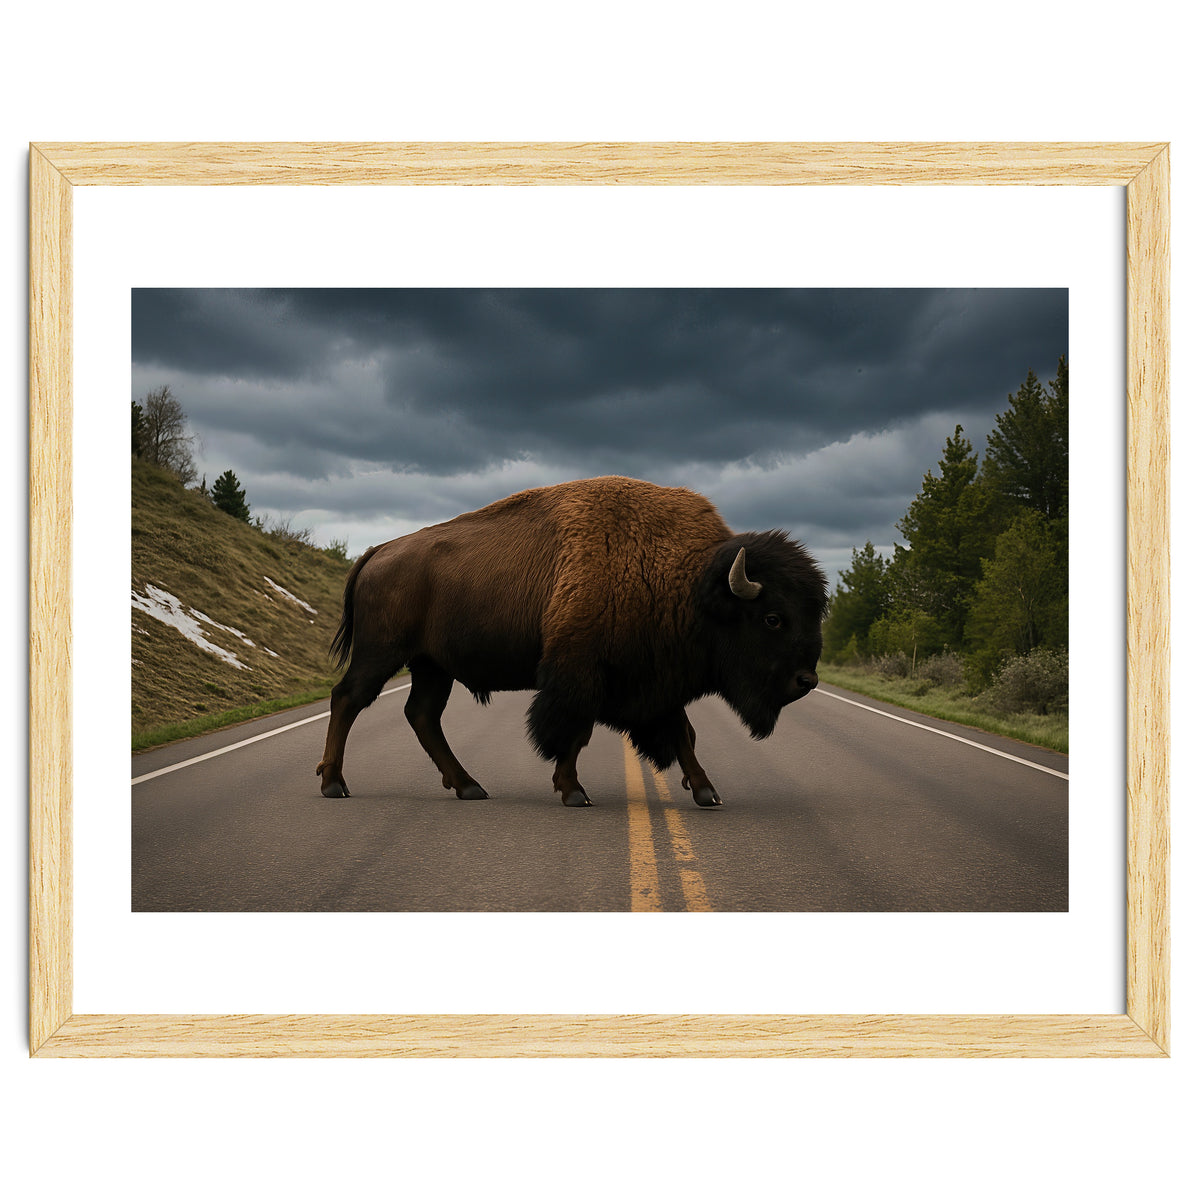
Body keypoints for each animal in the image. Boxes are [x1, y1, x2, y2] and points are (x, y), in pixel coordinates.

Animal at [317, 476, 828, 807]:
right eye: (773, 618)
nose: (806, 680)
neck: (689, 582)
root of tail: (379, 550)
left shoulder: (654, 681)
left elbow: (682, 732)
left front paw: (706, 791)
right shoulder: (581, 674)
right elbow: (575, 731)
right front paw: (573, 791)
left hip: (431, 666)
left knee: (421, 715)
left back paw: (469, 787)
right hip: (383, 653)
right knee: (348, 698)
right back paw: (334, 784)